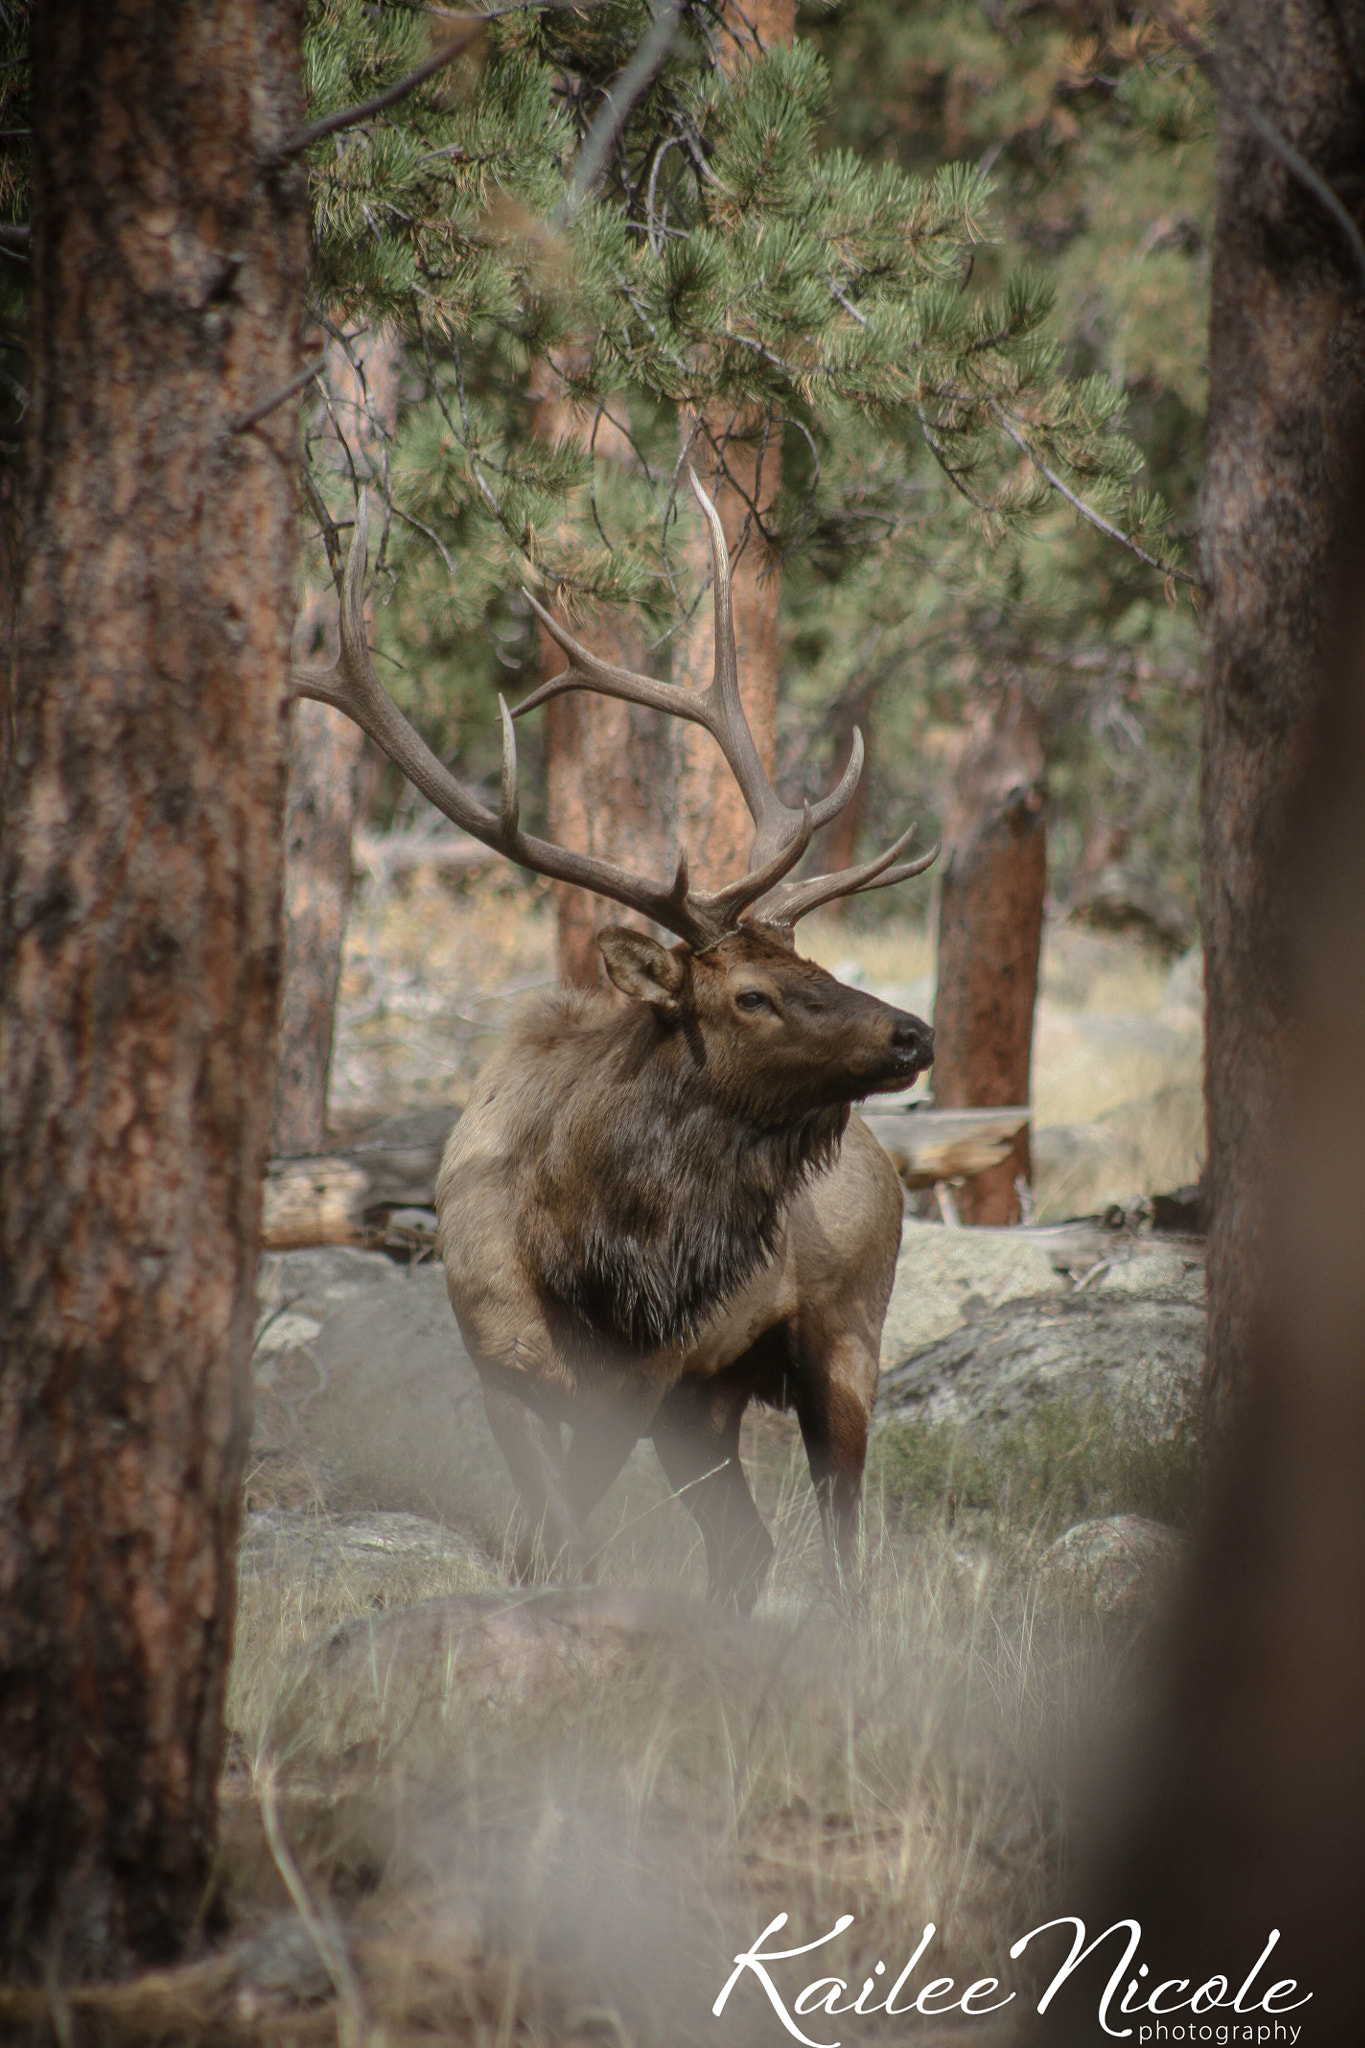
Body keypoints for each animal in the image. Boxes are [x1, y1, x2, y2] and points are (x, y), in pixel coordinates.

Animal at [292, 475, 938, 1611]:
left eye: (815, 965)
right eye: (756, 994)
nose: (913, 1032)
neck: (585, 1255)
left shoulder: (642, 1381)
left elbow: (564, 1541)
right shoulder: (502, 1370)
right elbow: (544, 1541)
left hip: (842, 1333)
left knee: (840, 1549)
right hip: (711, 1400)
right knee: (747, 1545)